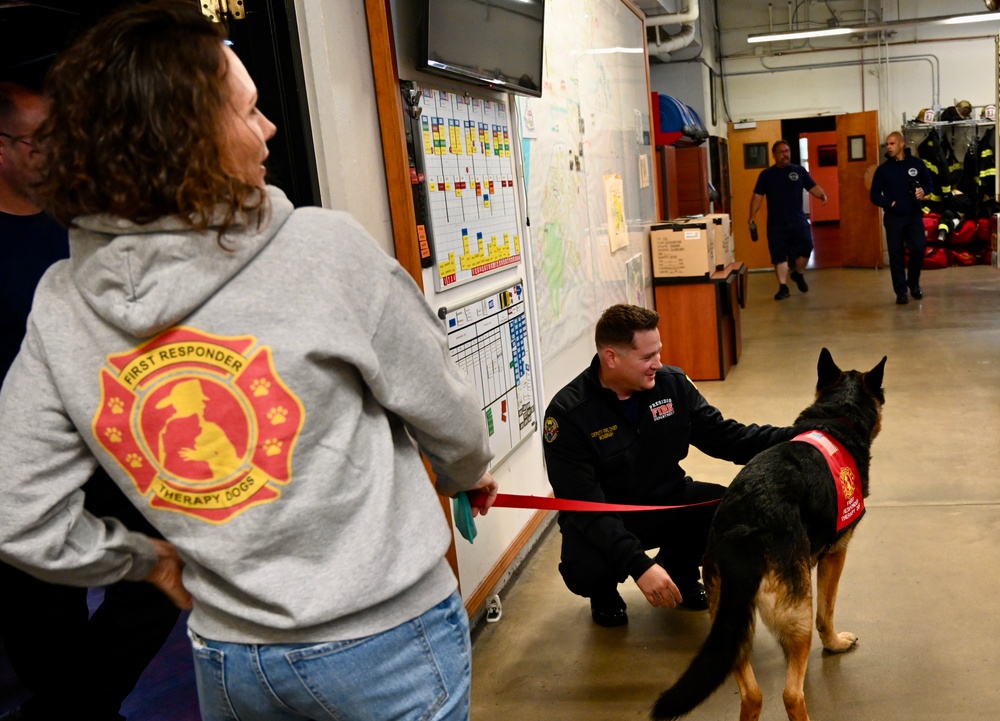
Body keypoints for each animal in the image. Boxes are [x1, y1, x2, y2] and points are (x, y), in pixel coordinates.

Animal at [652, 348, 888, 720]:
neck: (838, 417)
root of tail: (746, 529)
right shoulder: (836, 555)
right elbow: (827, 613)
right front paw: (835, 643)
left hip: (733, 626)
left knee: (752, 694)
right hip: (796, 616)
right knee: (791, 694)